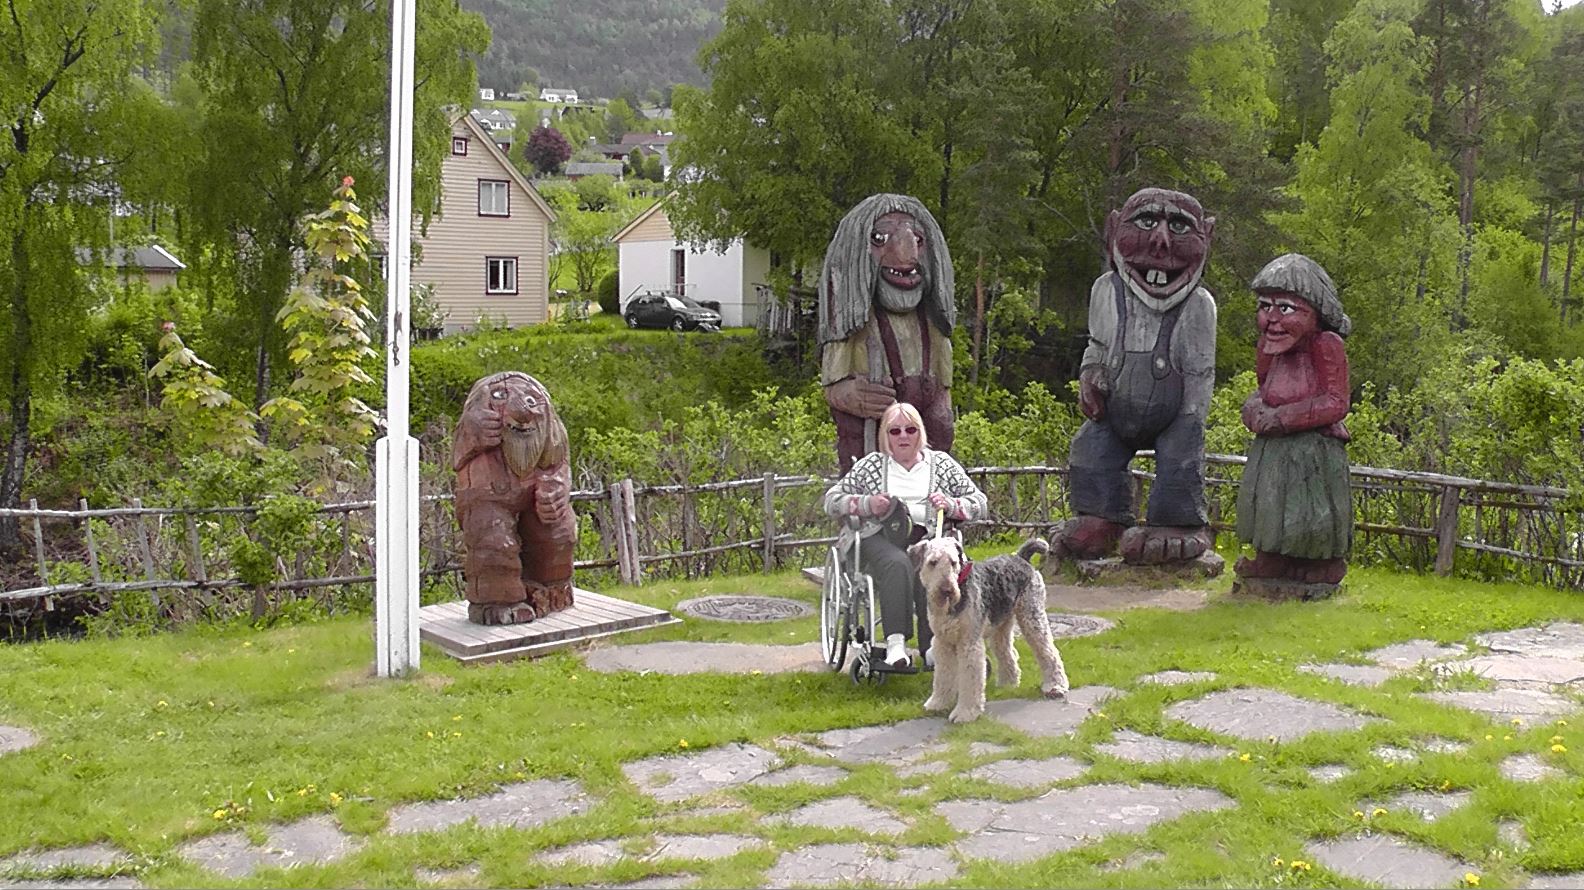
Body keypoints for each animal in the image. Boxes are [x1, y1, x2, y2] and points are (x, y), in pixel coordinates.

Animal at [907, 536, 1070, 723]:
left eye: (953, 562)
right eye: (932, 562)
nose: (947, 590)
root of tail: (1021, 557)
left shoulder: (969, 644)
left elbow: (970, 681)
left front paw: (965, 713)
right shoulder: (943, 643)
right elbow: (943, 677)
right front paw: (937, 703)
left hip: (1032, 618)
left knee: (1050, 653)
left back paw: (1056, 686)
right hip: (1001, 627)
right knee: (1008, 653)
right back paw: (1009, 683)